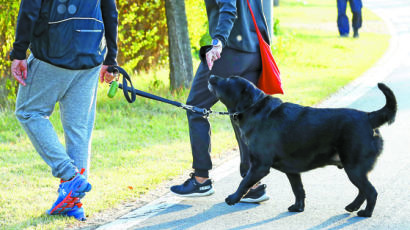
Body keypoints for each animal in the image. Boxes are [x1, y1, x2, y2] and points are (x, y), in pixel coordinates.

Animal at [208, 75, 398, 217]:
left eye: (228, 80)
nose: (211, 76)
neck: (254, 109)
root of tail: (369, 117)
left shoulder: (259, 166)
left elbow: (244, 182)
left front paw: (233, 198)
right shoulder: (292, 170)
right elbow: (298, 189)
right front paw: (298, 207)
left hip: (354, 167)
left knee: (371, 192)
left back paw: (366, 213)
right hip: (354, 168)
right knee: (363, 191)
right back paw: (352, 207)